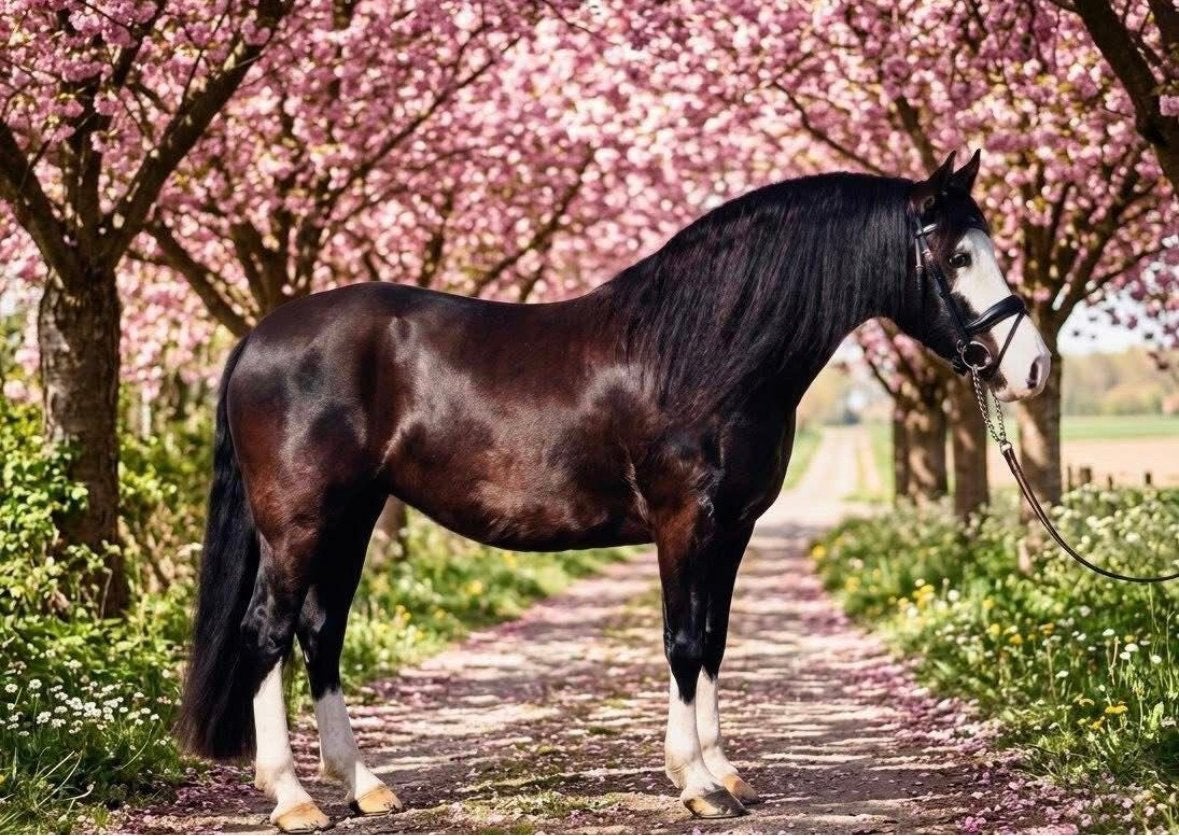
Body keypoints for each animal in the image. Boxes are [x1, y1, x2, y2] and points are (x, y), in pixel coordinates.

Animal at [176, 151, 1050, 832]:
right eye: (957, 257)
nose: (1033, 366)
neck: (704, 351)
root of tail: (257, 338)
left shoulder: (731, 530)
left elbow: (714, 643)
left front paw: (723, 772)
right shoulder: (683, 523)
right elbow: (683, 643)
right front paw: (696, 785)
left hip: (351, 519)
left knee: (320, 633)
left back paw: (365, 788)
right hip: (298, 523)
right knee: (266, 633)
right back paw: (293, 799)